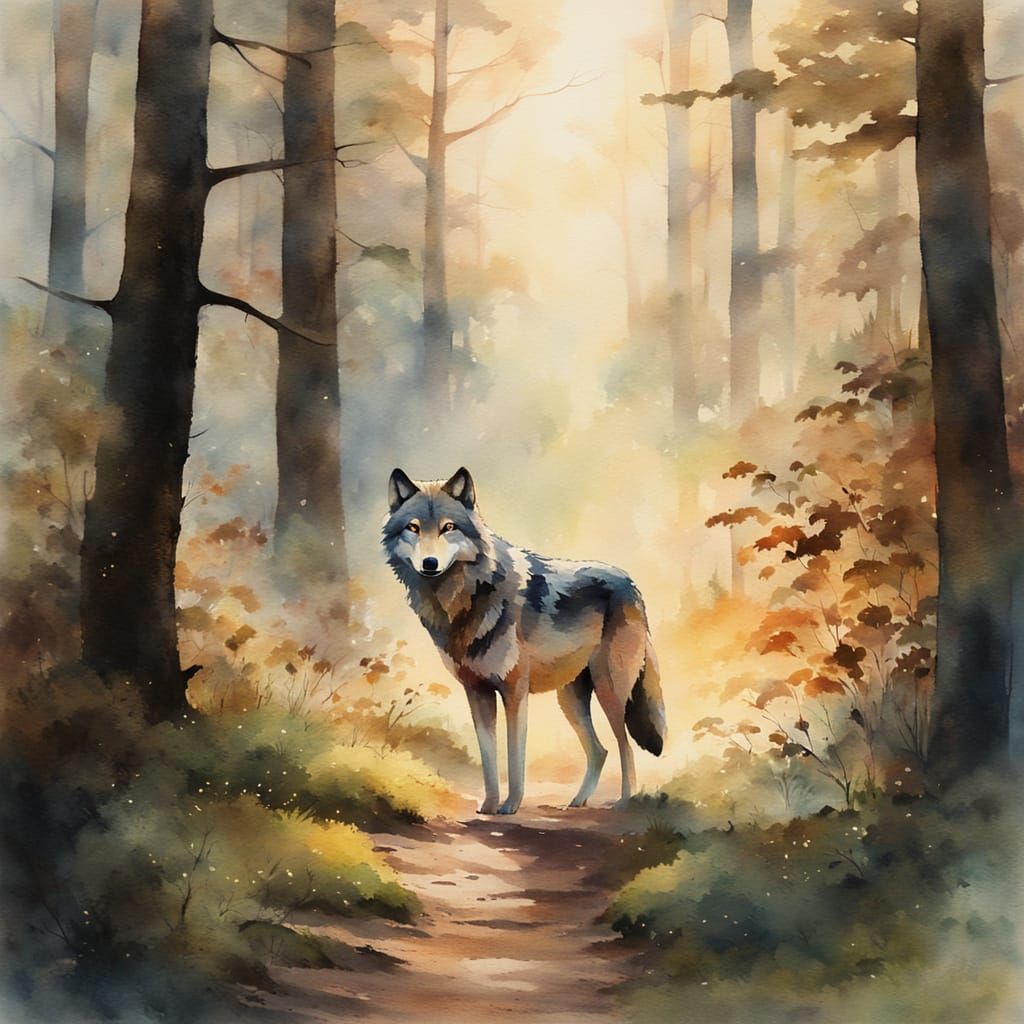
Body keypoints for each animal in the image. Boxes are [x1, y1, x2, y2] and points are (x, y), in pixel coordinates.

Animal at [382, 467, 666, 815]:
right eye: (413, 528)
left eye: (448, 527)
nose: (430, 564)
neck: (464, 598)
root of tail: (631, 583)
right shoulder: (477, 691)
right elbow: (489, 756)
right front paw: (490, 805)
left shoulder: (514, 690)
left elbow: (514, 755)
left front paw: (511, 805)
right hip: (570, 700)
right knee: (600, 750)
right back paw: (577, 802)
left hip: (610, 691)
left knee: (624, 746)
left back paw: (625, 802)